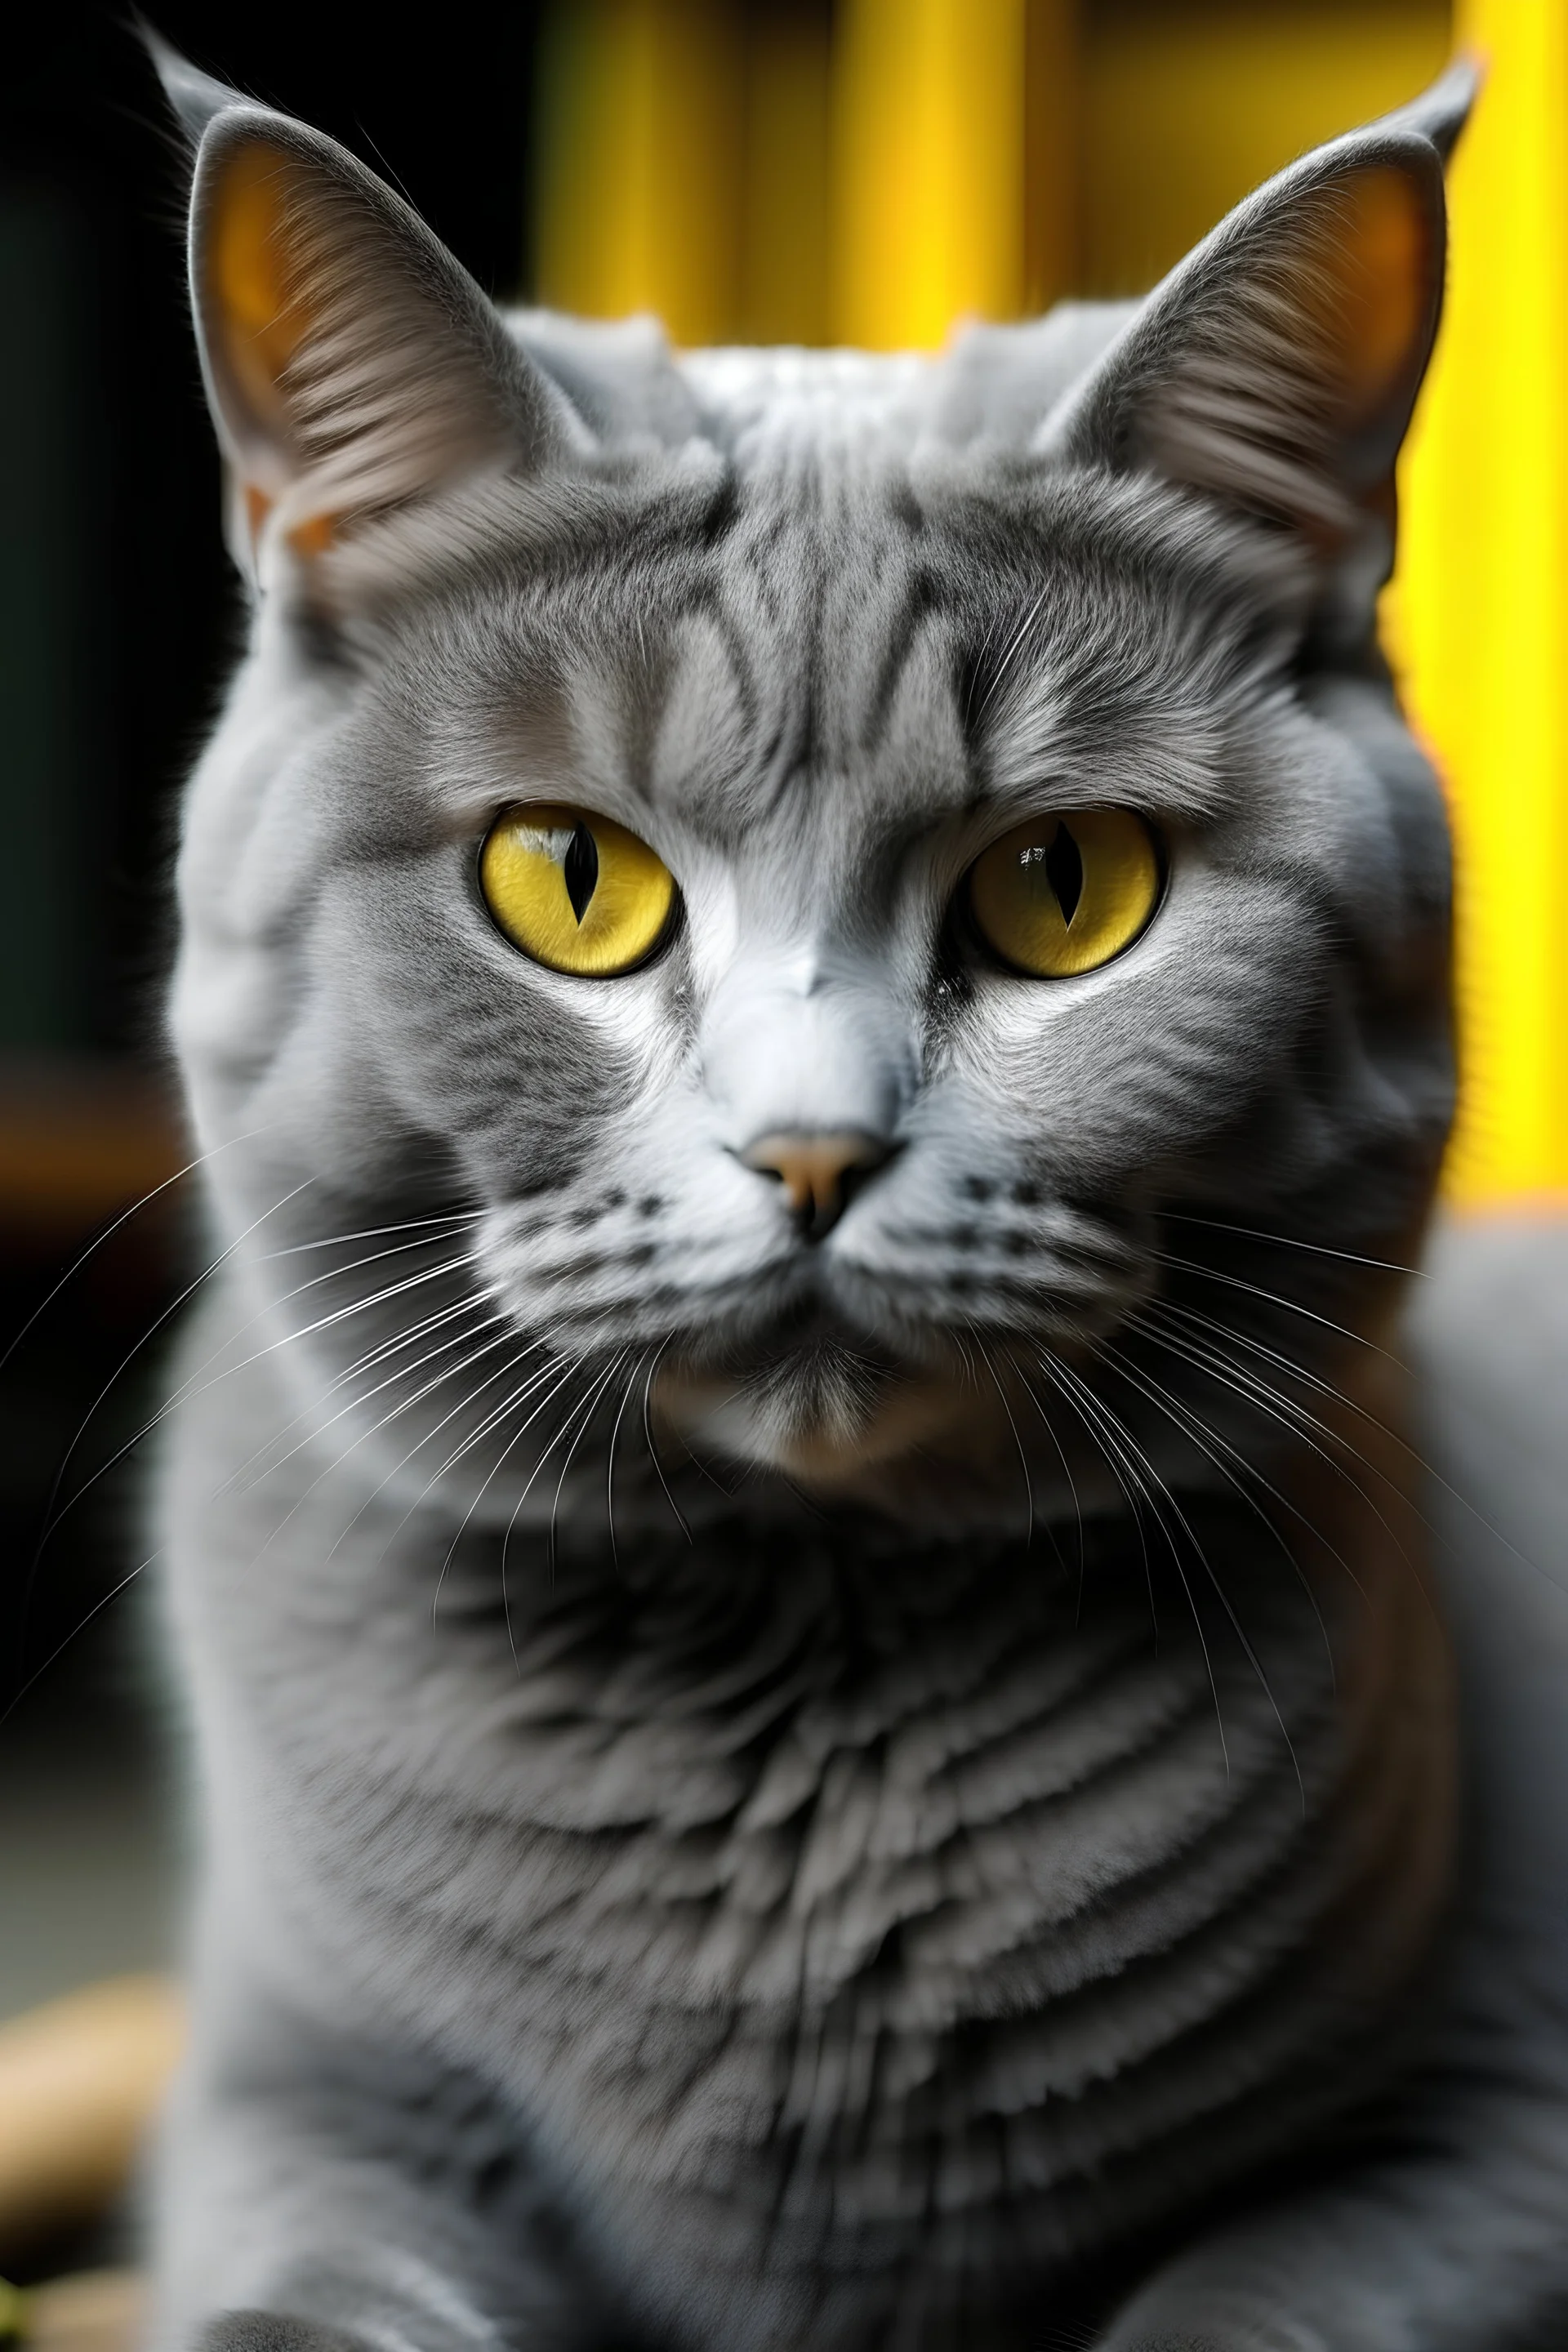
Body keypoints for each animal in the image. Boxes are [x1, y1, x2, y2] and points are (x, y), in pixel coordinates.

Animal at [140, 41, 1568, 2352]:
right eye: (569, 878)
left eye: (1067, 887)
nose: (814, 1148)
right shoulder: (294, 2101)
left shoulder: (1486, 2130)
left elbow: (1233, 2314)